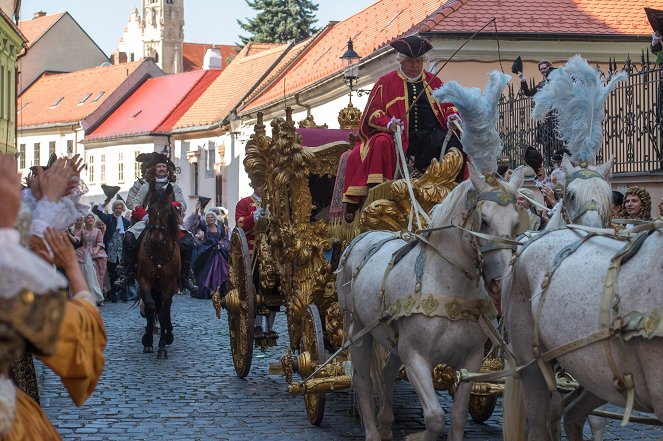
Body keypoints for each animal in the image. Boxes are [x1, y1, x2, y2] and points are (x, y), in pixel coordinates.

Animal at [138, 182, 182, 358]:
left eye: (168, 210)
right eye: (150, 209)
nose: (156, 239)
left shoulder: (170, 284)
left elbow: (163, 311)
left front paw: (163, 346)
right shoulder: (143, 281)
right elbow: (150, 306)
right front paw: (148, 340)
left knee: (166, 307)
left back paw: (168, 334)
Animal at [340, 73, 528, 440]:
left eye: (516, 223)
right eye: (484, 220)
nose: (500, 284)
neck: (447, 285)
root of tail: (366, 236)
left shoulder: (470, 362)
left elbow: (455, 418)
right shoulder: (416, 357)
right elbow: (434, 417)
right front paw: (417, 436)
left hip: (388, 339)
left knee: (385, 374)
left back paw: (386, 423)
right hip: (359, 331)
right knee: (364, 379)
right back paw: (373, 429)